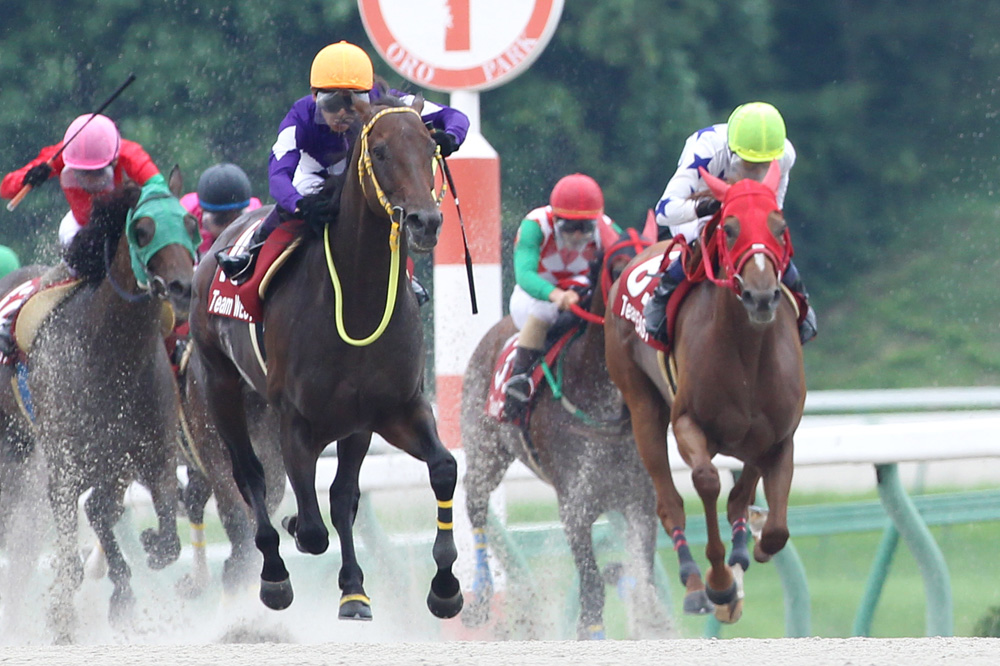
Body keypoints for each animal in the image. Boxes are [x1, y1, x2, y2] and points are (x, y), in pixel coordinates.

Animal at [0, 176, 199, 642]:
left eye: (190, 223)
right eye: (142, 230)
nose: (182, 287)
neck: (112, 352)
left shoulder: (151, 455)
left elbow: (165, 539)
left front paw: (142, 559)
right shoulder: (64, 465)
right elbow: (70, 545)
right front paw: (62, 615)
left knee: (97, 511)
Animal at [189, 94, 462, 620]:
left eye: (430, 147)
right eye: (379, 151)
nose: (426, 222)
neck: (356, 299)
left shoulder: (393, 409)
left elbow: (440, 469)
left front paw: (443, 586)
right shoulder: (295, 420)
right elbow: (313, 529)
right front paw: (293, 536)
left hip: (341, 423)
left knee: (341, 497)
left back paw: (353, 588)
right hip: (220, 386)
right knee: (250, 475)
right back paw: (275, 573)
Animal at [460, 228, 674, 639]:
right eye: (621, 270)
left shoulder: (639, 500)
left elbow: (644, 584)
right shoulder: (575, 506)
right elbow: (592, 594)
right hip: (485, 451)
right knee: (475, 504)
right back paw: (480, 597)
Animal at [604, 163, 806, 624]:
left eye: (779, 225)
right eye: (728, 228)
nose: (761, 296)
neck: (749, 352)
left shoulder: (778, 437)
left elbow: (771, 523)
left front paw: (754, 548)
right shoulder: (687, 424)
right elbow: (707, 482)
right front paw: (719, 582)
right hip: (642, 407)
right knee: (668, 503)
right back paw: (697, 584)